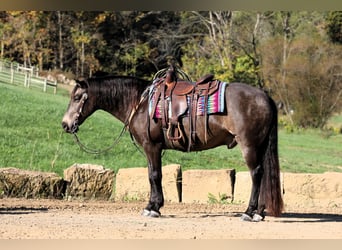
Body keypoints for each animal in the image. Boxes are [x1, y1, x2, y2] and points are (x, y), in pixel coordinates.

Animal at [61, 67, 284, 222]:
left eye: (77, 97)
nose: (65, 124)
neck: (140, 103)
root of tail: (265, 97)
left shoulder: (152, 146)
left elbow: (154, 175)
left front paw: (153, 208)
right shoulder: (151, 149)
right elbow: (151, 175)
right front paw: (153, 204)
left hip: (250, 146)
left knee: (256, 174)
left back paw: (249, 212)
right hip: (260, 146)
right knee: (263, 175)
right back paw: (259, 212)